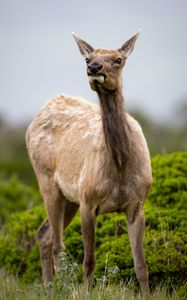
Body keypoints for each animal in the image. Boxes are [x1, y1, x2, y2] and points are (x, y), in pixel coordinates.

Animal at [25, 30, 152, 292]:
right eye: (87, 58)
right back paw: (57, 287)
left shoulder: (138, 203)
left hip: (69, 197)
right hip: (47, 181)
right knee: (57, 244)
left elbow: (141, 265)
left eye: (118, 59)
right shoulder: (88, 200)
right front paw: (85, 290)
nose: (94, 68)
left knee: (44, 233)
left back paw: (49, 286)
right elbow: (89, 261)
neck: (120, 166)